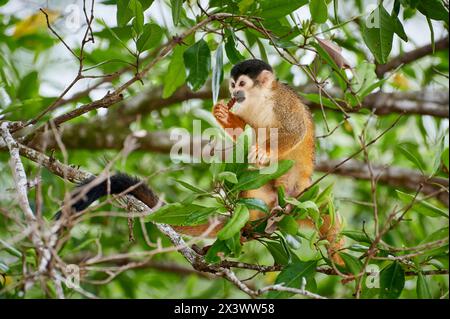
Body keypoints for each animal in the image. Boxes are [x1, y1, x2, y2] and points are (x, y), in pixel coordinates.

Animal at [58, 59, 342, 264]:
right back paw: (243, 232)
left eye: (241, 83)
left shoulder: (283, 102)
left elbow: (295, 131)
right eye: (232, 85)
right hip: (263, 199)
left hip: (303, 196)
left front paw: (265, 152)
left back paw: (339, 260)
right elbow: (243, 135)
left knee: (326, 211)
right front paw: (225, 117)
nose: (235, 92)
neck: (259, 100)